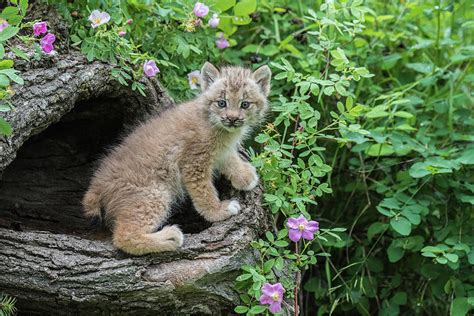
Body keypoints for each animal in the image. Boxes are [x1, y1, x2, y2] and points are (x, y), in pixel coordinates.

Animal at [83, 61, 272, 254]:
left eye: (245, 104)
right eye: (221, 103)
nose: (232, 119)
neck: (218, 127)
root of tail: (97, 183)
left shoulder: (219, 150)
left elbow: (229, 157)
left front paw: (244, 176)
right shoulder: (193, 163)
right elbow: (204, 191)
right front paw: (217, 211)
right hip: (154, 193)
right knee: (123, 237)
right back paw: (170, 237)